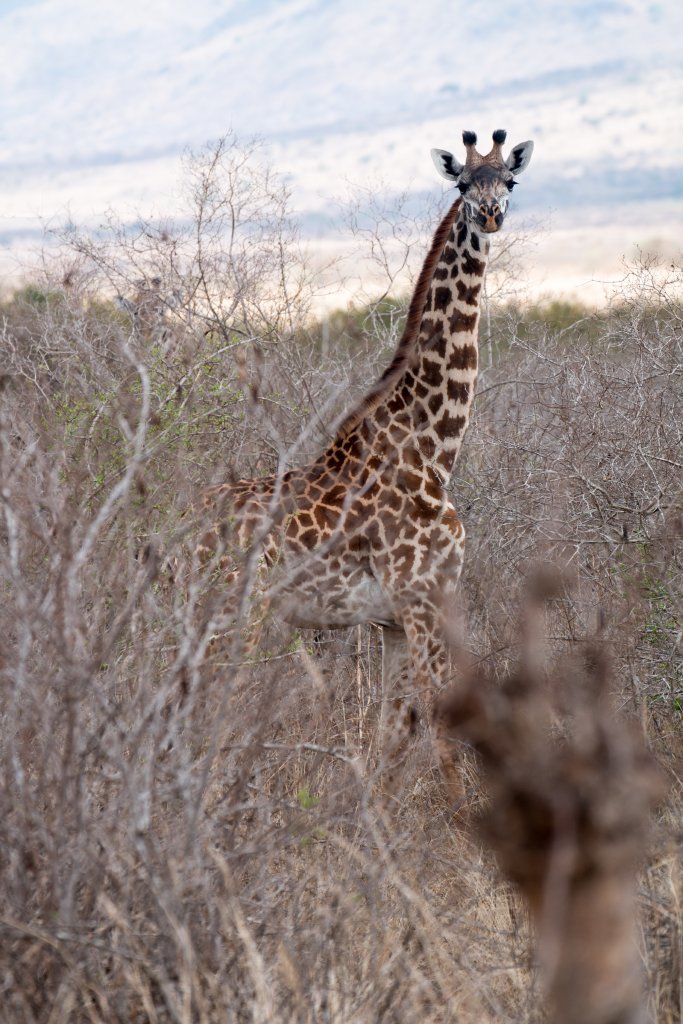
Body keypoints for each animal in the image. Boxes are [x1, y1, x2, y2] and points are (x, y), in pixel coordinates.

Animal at [198, 129, 534, 806]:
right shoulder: (426, 598)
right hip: (233, 617)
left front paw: (375, 816)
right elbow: (439, 719)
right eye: (464, 183)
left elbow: (391, 732)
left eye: (509, 181)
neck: (434, 448)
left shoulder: (393, 621)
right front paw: (462, 824)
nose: (490, 215)